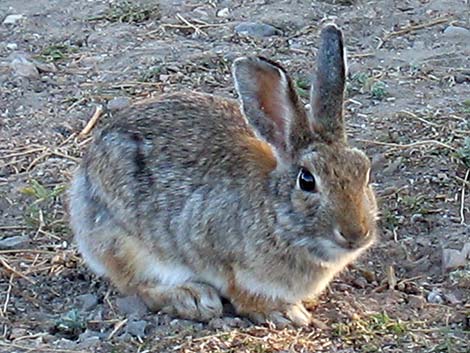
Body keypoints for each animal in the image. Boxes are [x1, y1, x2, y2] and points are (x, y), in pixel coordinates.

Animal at [69, 25, 378, 328]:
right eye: (307, 181)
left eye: (364, 171)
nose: (356, 233)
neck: (277, 215)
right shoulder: (223, 257)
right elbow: (240, 291)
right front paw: (285, 312)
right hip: (125, 243)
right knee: (136, 284)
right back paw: (192, 298)